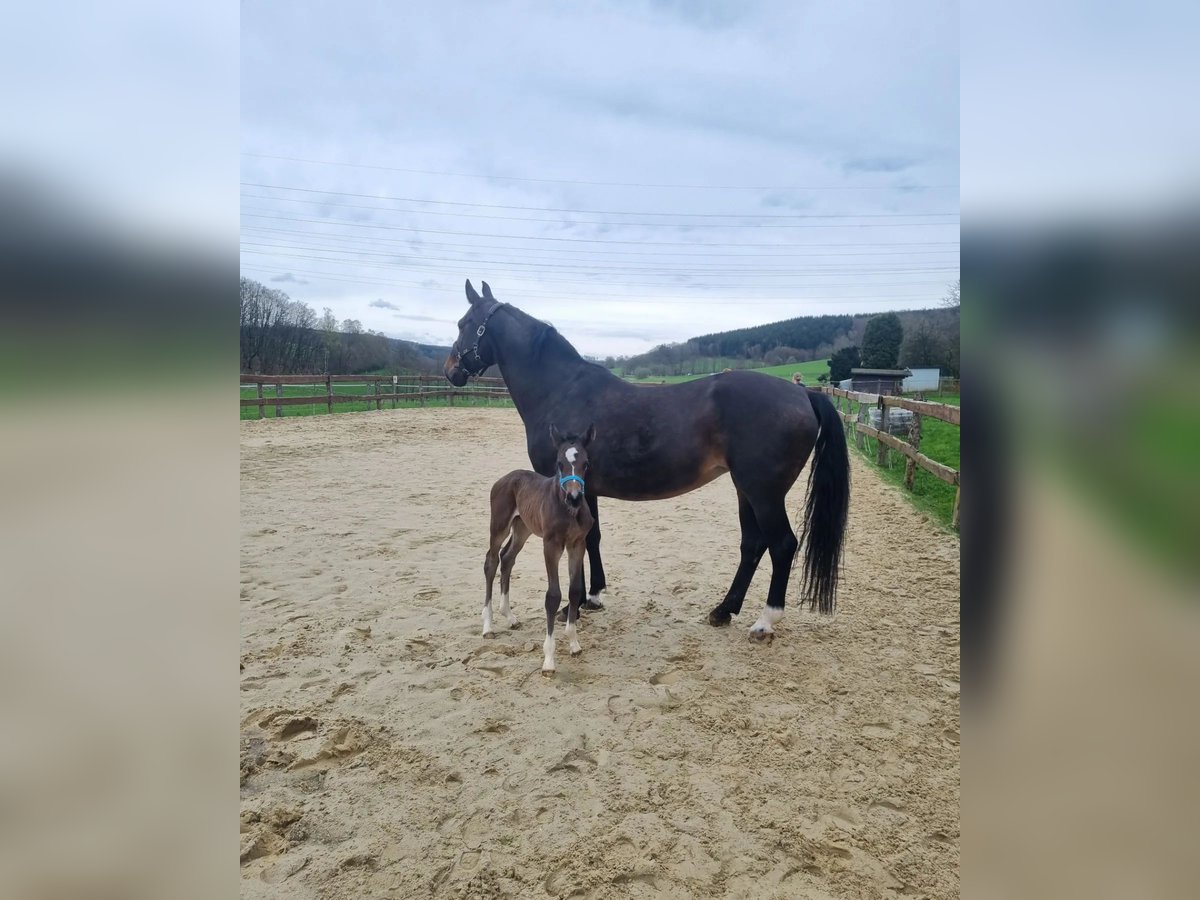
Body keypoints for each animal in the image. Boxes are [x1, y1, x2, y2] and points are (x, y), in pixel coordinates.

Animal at [446, 282, 849, 643]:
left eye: (464, 323)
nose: (451, 370)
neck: (561, 389)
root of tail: (802, 394)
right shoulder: (585, 489)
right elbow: (593, 537)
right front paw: (593, 597)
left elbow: (584, 541)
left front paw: (573, 606)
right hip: (744, 489)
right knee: (752, 544)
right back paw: (723, 611)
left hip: (763, 492)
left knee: (781, 544)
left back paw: (764, 623)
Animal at [482, 427, 595, 672]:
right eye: (559, 463)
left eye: (586, 463)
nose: (574, 497)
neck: (568, 510)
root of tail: (504, 478)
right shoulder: (551, 545)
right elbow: (553, 595)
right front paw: (549, 660)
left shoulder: (577, 544)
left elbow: (574, 590)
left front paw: (574, 644)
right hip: (499, 525)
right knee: (491, 561)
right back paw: (488, 625)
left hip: (522, 528)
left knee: (507, 558)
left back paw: (509, 616)